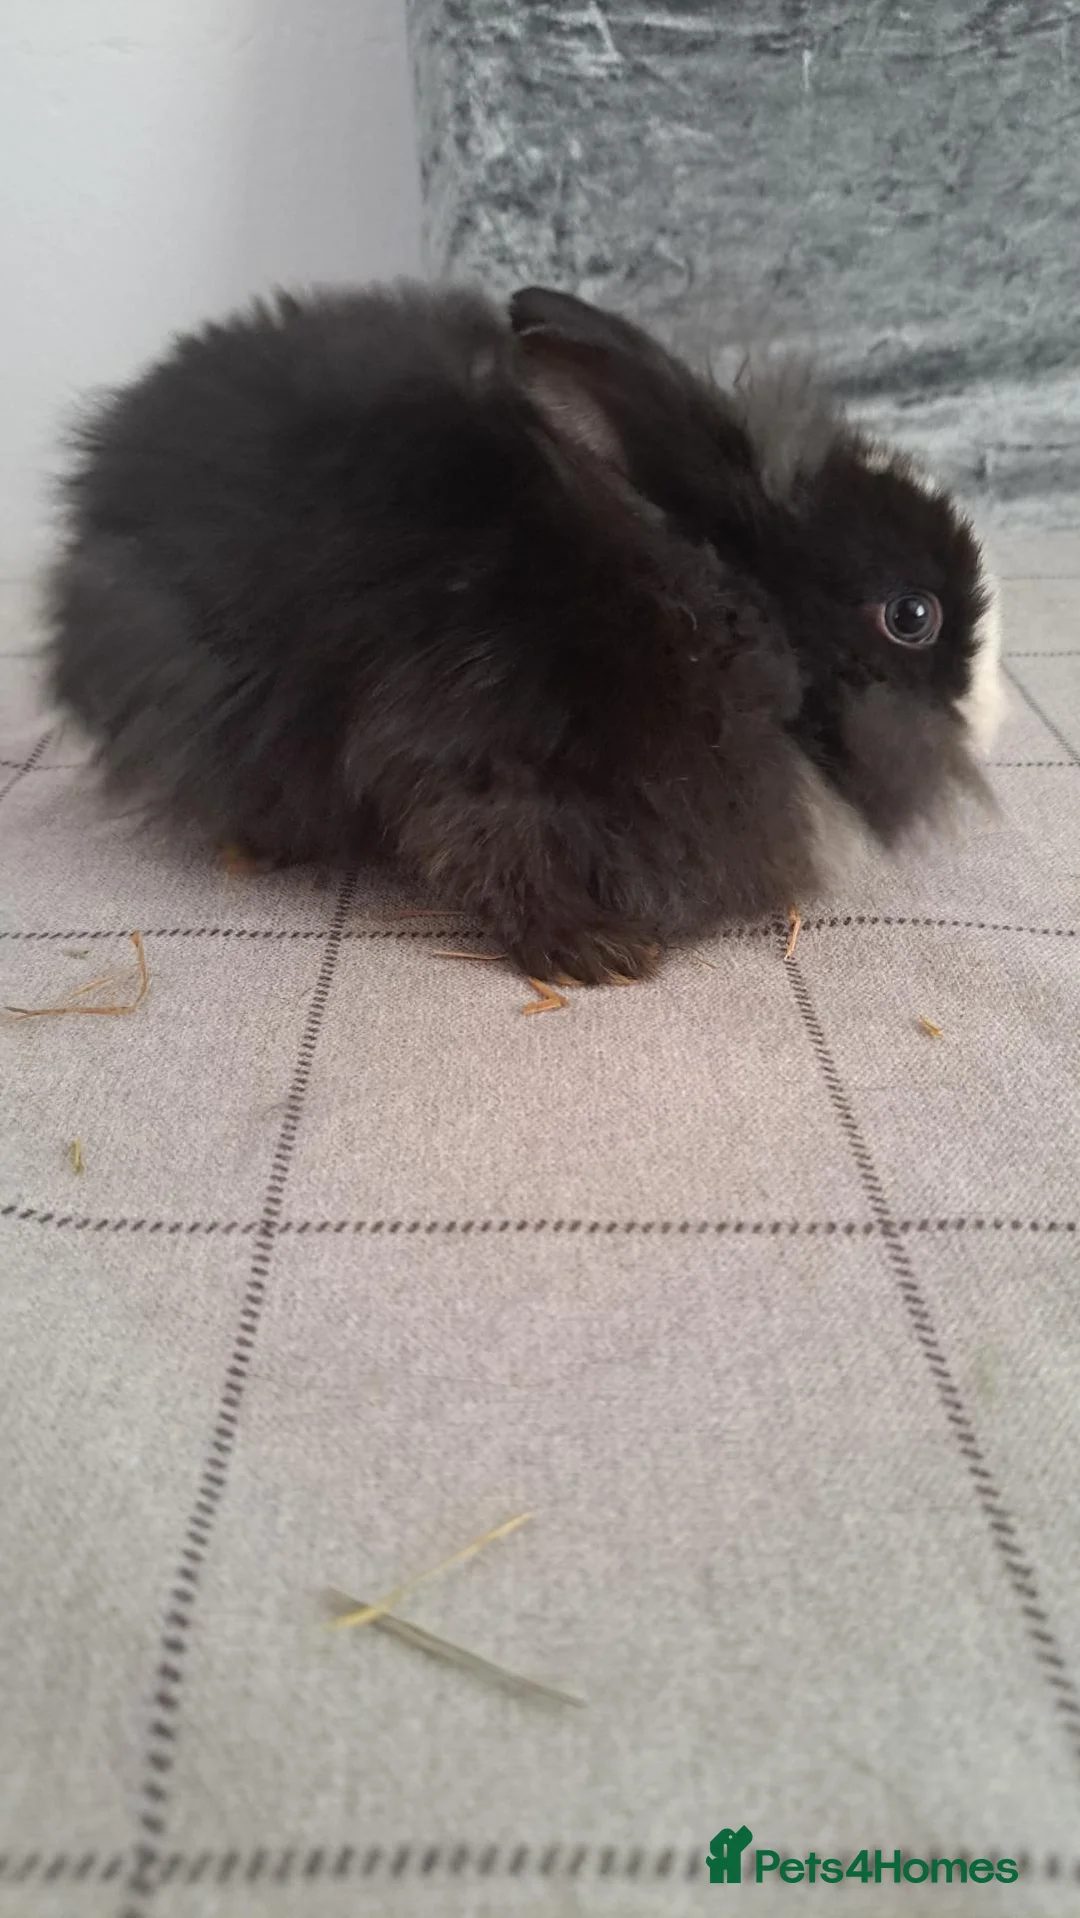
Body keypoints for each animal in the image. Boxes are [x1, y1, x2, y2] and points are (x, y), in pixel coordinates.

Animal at [46, 279, 1001, 986]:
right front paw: (595, 954)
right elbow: (493, 850)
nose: (997, 709)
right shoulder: (480, 752)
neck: (715, 607)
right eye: (913, 615)